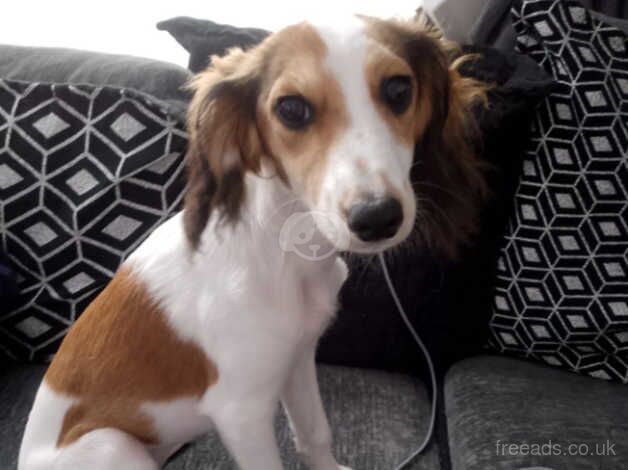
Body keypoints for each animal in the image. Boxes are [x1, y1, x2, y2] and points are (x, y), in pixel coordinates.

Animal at [15, 14, 486, 470]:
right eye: (291, 108)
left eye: (398, 89)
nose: (376, 218)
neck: (285, 250)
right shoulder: (241, 413)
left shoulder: (298, 357)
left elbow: (314, 435)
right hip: (115, 446)